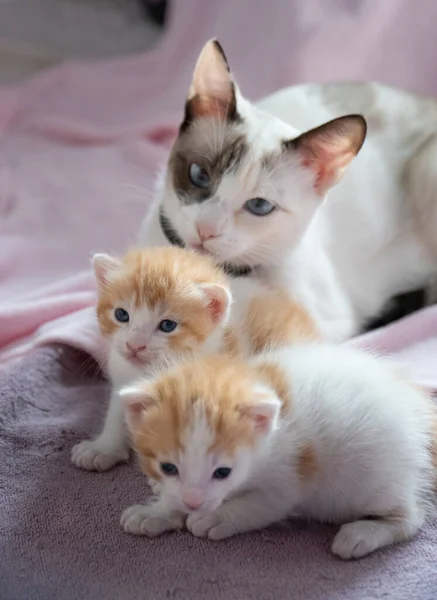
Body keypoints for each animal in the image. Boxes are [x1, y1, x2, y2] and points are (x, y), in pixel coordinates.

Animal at [119, 344, 436, 560]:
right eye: (168, 468)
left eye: (223, 472)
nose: (193, 503)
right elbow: (173, 495)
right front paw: (158, 511)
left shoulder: (291, 472)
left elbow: (263, 505)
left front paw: (217, 517)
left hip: (376, 475)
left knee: (412, 517)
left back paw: (361, 534)